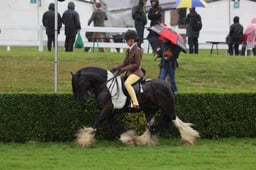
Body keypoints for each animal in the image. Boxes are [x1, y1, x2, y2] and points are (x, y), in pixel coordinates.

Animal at [70, 66, 200, 146]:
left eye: (80, 83)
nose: (83, 100)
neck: (104, 85)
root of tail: (168, 86)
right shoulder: (110, 112)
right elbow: (114, 127)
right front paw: (127, 137)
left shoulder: (107, 109)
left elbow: (96, 123)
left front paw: (84, 140)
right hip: (150, 110)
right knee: (153, 124)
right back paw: (143, 140)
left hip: (167, 107)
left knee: (173, 120)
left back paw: (189, 137)